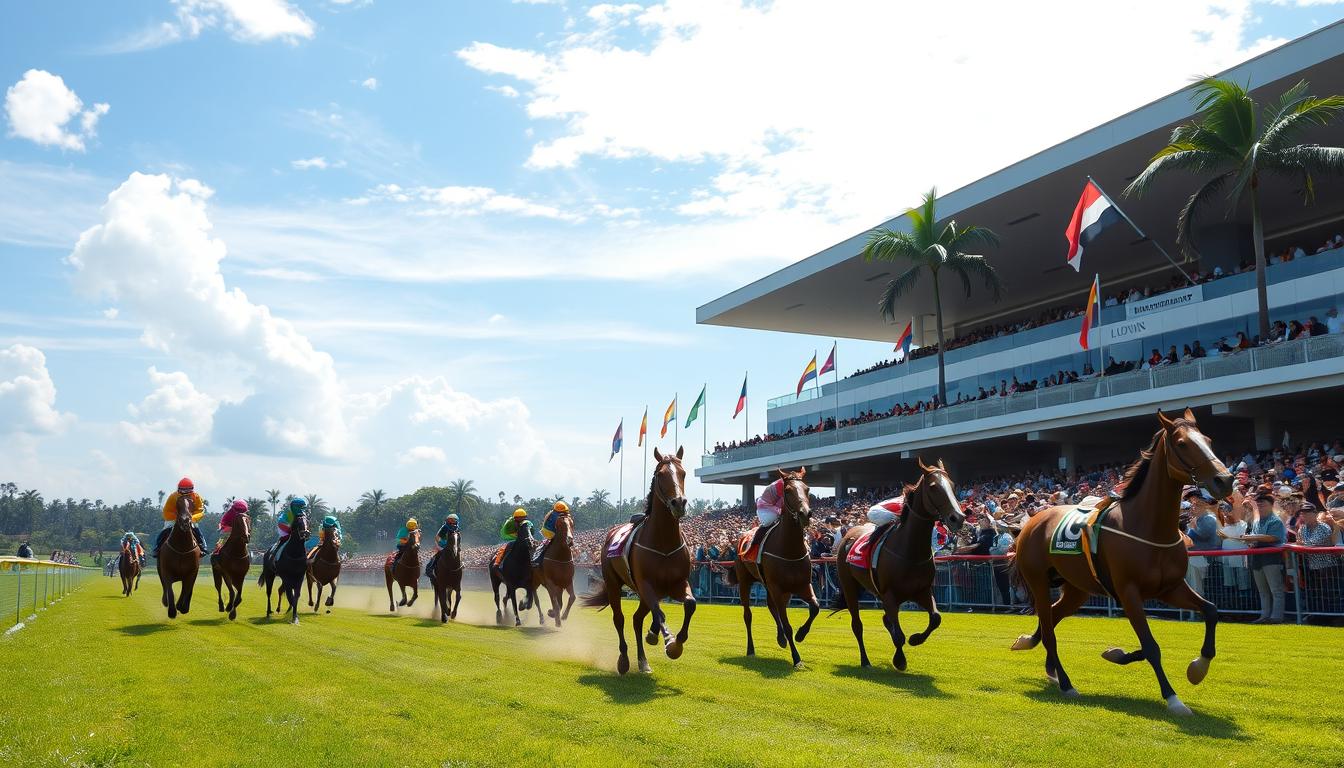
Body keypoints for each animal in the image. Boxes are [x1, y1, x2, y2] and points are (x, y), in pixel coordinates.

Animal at [583, 446, 698, 675]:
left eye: (683, 473)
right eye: (661, 474)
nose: (679, 503)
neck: (663, 544)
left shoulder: (677, 583)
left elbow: (690, 604)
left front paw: (675, 642)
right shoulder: (646, 584)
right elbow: (659, 613)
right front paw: (669, 640)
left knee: (637, 619)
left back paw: (644, 660)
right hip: (614, 584)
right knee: (620, 619)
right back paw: (624, 660)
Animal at [731, 465, 811, 669]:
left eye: (807, 489)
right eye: (788, 491)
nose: (805, 514)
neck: (789, 549)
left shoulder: (802, 585)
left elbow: (815, 607)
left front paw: (801, 634)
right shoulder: (778, 587)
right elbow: (788, 625)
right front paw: (797, 658)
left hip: (773, 586)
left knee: (771, 606)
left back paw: (780, 638)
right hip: (746, 582)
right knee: (748, 615)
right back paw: (750, 649)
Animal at [827, 459, 967, 669]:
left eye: (953, 485)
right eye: (933, 487)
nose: (957, 518)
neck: (910, 552)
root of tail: (848, 534)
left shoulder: (922, 591)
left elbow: (936, 618)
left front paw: (915, 639)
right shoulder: (890, 595)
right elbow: (900, 636)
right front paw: (900, 660)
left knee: (886, 619)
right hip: (849, 586)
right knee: (857, 625)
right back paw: (865, 660)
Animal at [1010, 411, 1231, 720]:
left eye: (1208, 440)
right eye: (1182, 443)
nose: (1225, 480)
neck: (1148, 527)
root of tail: (1030, 523)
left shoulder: (1170, 588)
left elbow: (1211, 611)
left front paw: (1197, 667)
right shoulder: (1129, 593)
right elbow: (1151, 646)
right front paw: (1173, 698)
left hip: (1077, 589)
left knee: (1051, 617)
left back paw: (1048, 665)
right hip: (1039, 581)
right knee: (1049, 627)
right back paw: (1065, 683)